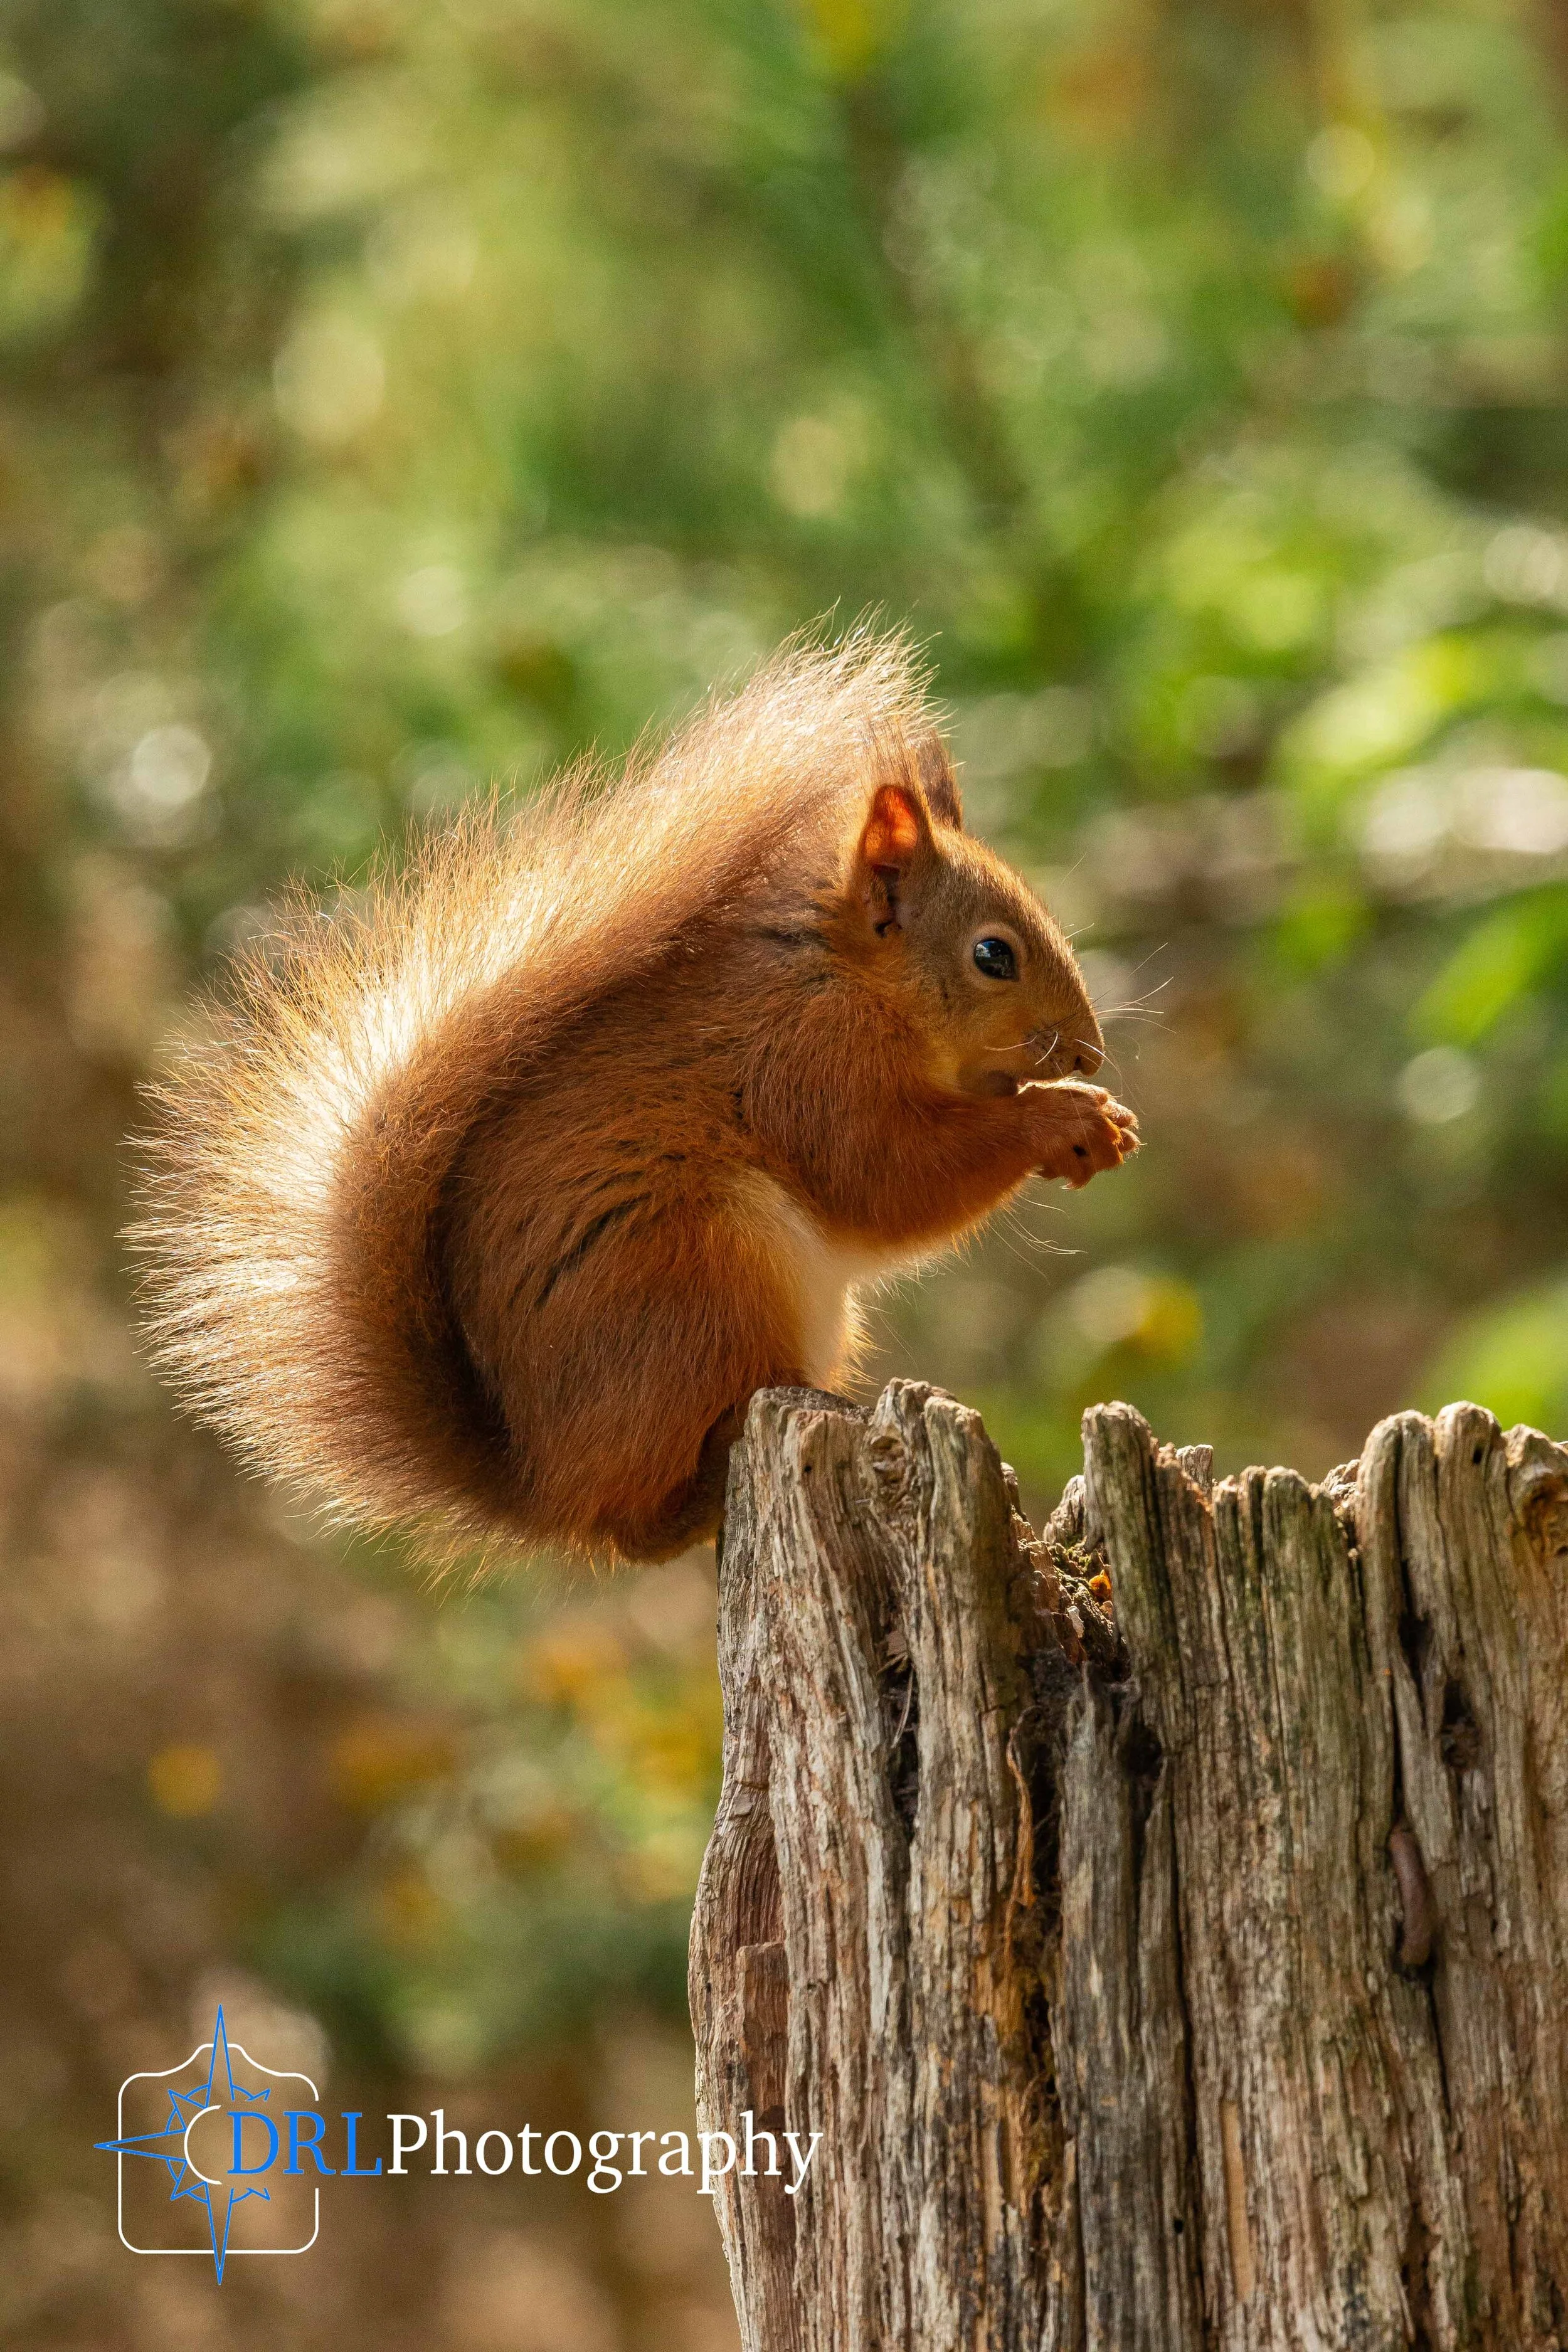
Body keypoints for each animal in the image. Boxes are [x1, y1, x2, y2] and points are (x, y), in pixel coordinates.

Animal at [131, 632, 1137, 1566]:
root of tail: (545, 1487)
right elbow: (883, 1178)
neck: (847, 977)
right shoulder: (805, 1063)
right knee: (639, 1527)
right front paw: (1061, 1117)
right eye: (993, 954)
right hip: (698, 1274)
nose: (1088, 1052)